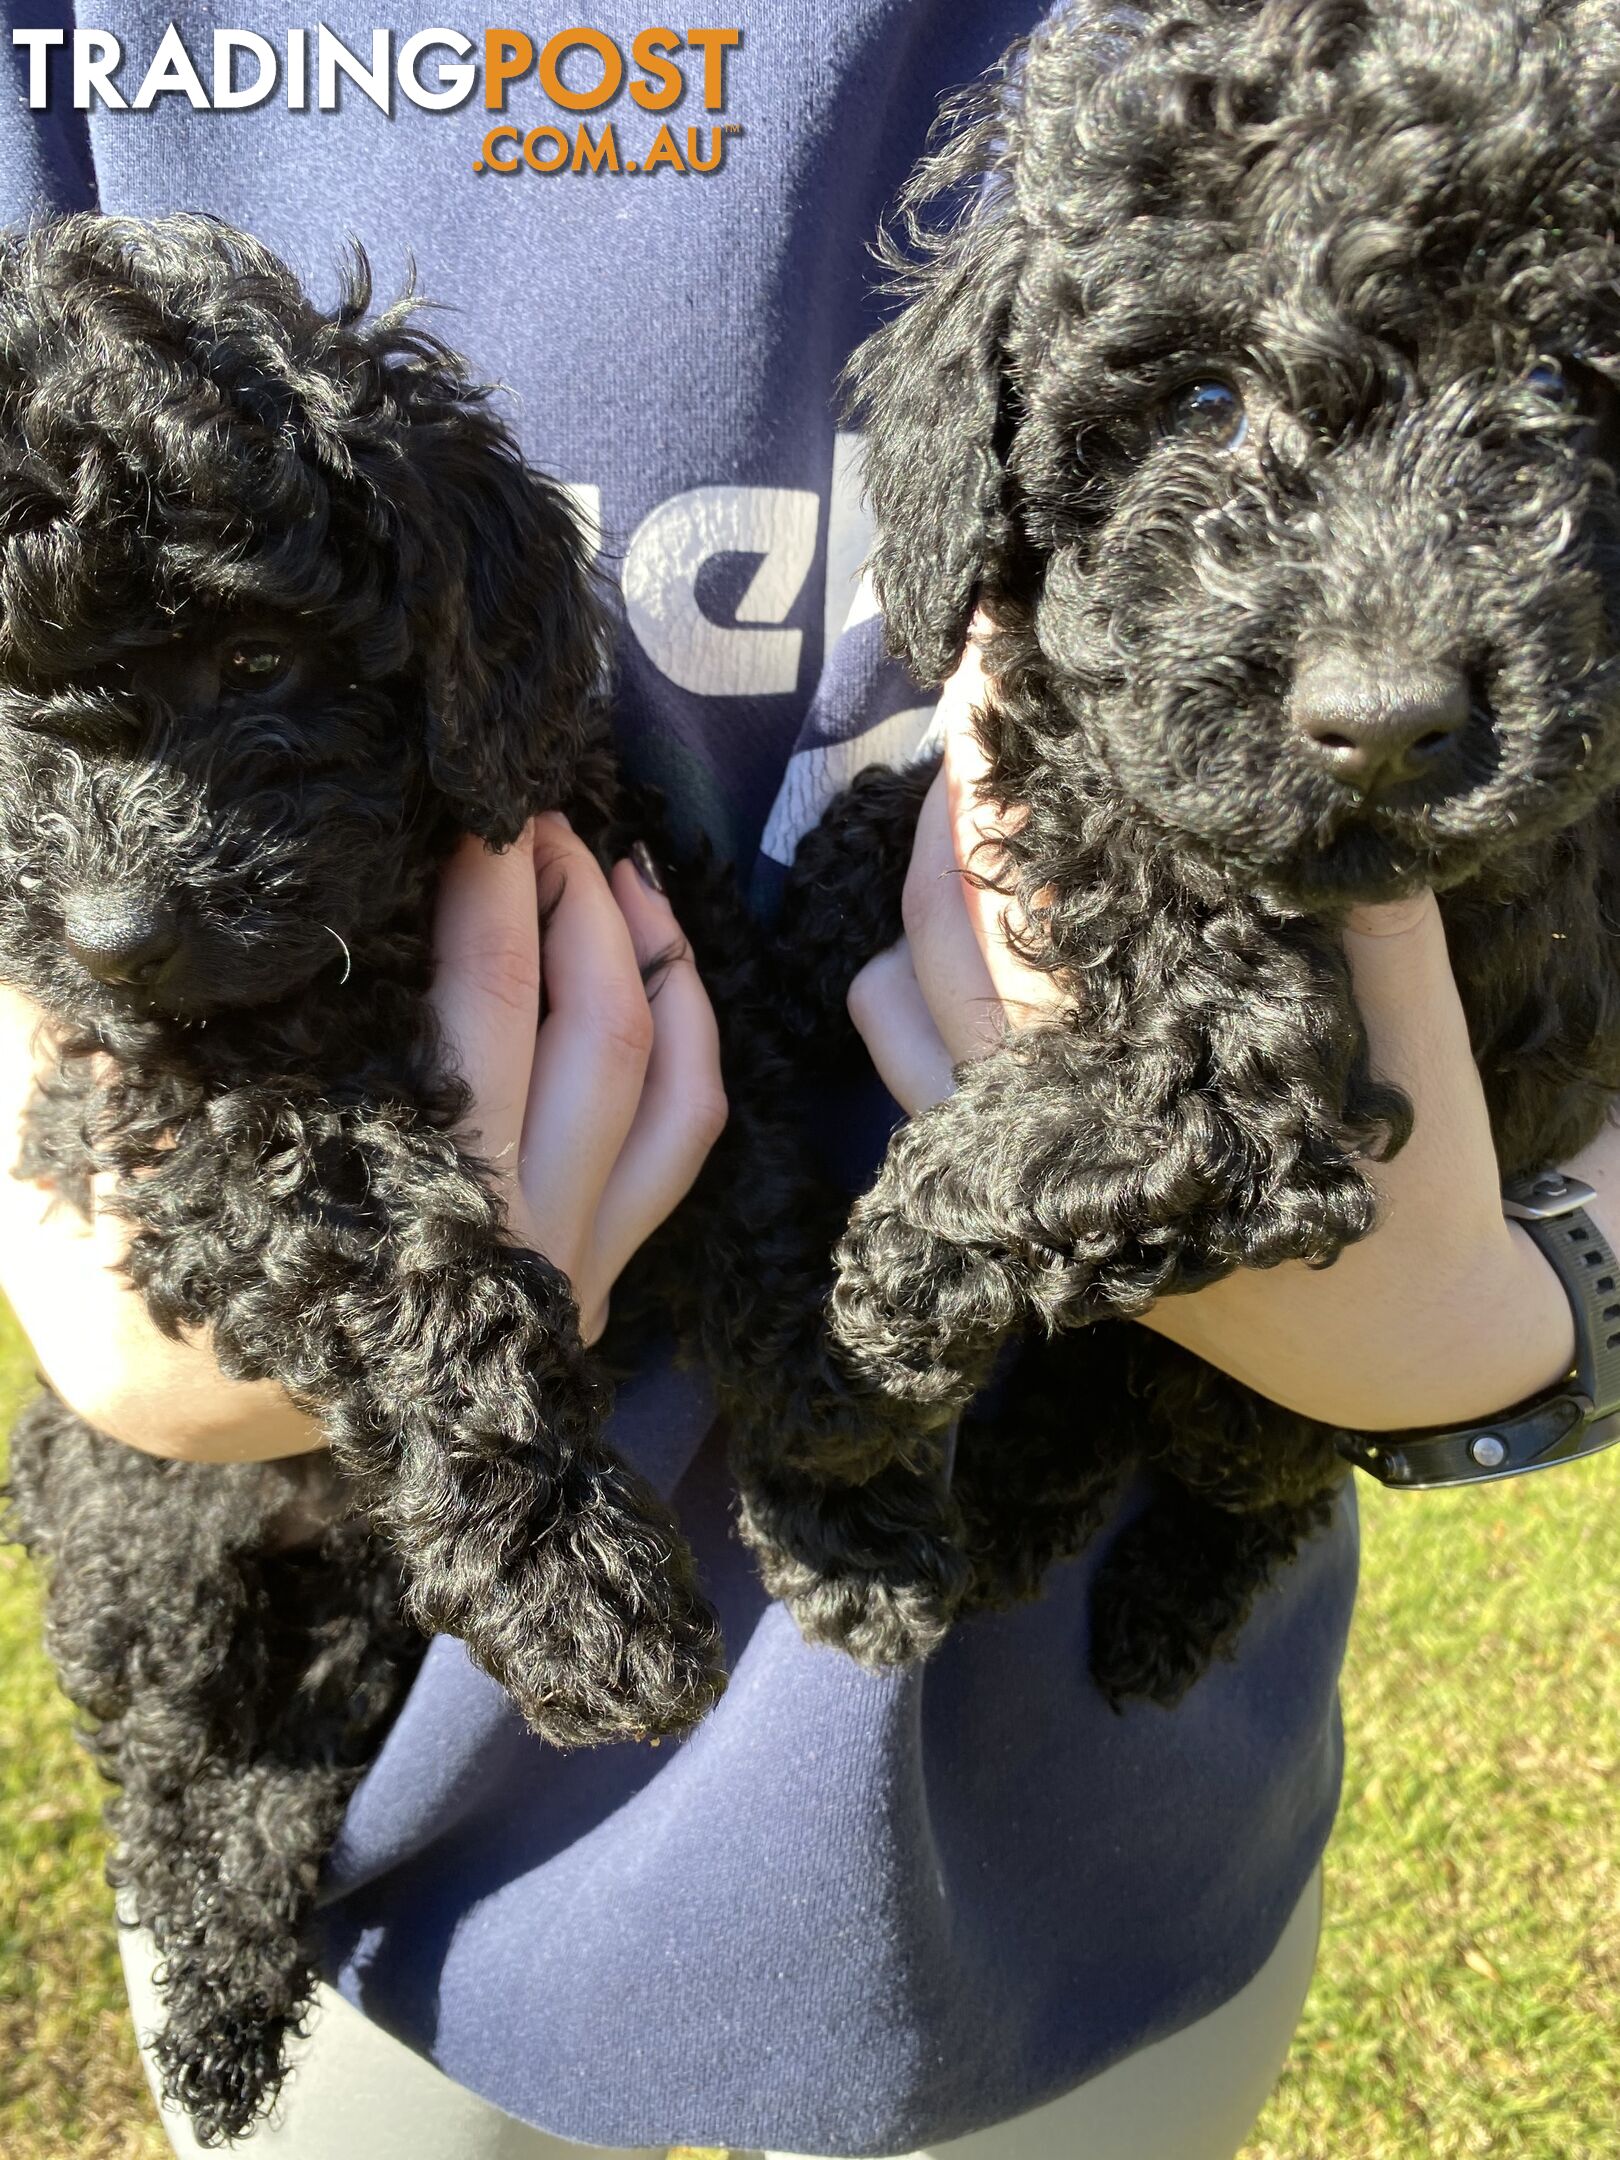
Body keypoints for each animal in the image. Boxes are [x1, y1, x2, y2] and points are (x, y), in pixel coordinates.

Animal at [0, 214, 855, 2142]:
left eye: (258, 660)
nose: (113, 934)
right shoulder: (189, 1111)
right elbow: (407, 1262)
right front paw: (578, 1582)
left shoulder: (648, 900)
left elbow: (771, 1166)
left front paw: (858, 1479)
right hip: (145, 1540)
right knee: (179, 1768)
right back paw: (214, 2008)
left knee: (291, 1766)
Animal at [743, 4, 1620, 1702]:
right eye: (1203, 404)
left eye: (1562, 383)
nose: (1387, 727)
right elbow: (916, 812)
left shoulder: (1240, 1094)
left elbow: (1012, 1167)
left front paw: (846, 1372)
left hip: (1270, 1402)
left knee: (1257, 1477)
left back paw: (1158, 1601)